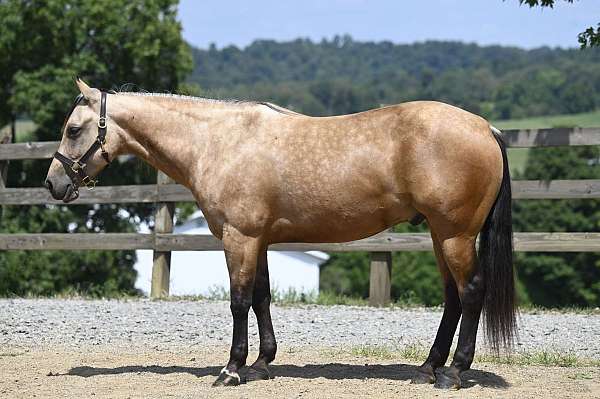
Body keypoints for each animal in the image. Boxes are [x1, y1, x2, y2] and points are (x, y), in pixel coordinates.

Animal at [47, 79, 516, 390]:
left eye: (74, 129)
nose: (53, 184)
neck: (218, 142)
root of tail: (485, 128)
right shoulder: (259, 241)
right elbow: (261, 298)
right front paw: (261, 364)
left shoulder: (239, 238)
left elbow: (238, 302)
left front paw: (231, 370)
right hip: (440, 236)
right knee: (452, 297)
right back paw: (427, 368)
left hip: (455, 235)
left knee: (471, 292)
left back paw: (453, 372)